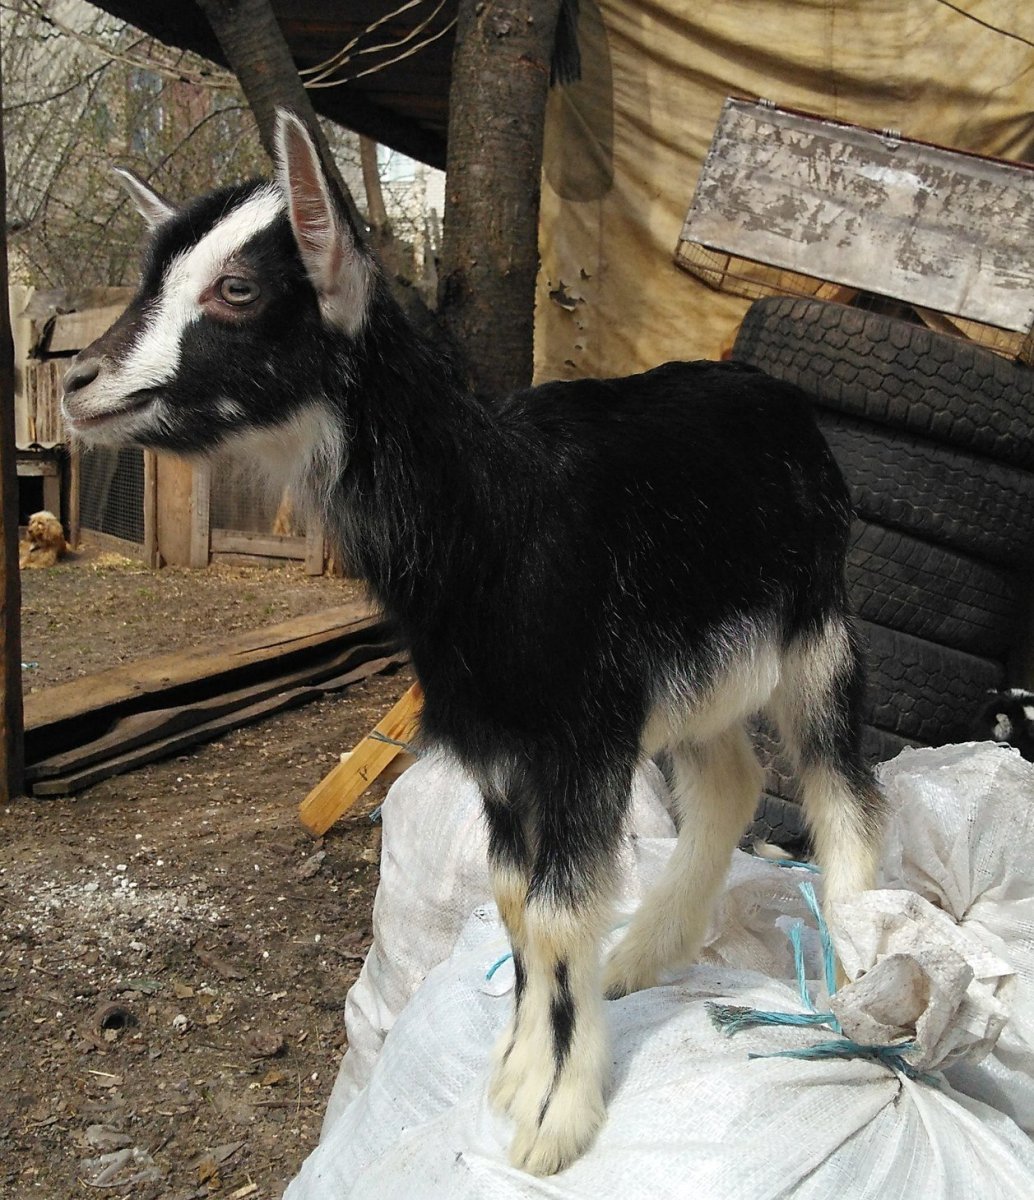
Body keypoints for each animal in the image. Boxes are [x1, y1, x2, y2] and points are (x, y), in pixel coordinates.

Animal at [62, 112, 885, 1176]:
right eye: (152, 269)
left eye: (237, 289)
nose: (77, 382)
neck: (494, 508)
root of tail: (776, 397)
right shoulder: (503, 737)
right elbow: (513, 899)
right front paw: (515, 1067)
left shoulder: (580, 734)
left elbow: (561, 908)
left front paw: (554, 1118)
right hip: (697, 676)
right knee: (730, 783)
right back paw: (641, 957)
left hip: (817, 631)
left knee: (840, 789)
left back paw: (859, 970)